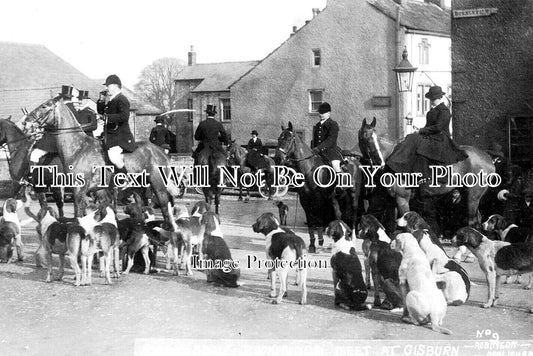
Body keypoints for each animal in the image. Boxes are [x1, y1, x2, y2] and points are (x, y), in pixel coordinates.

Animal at [23, 98, 181, 221]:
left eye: (44, 107)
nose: (26, 123)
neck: (78, 148)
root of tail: (161, 151)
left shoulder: (78, 189)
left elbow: (78, 216)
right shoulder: (95, 191)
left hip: (158, 186)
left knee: (165, 209)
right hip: (138, 188)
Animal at [274, 122, 362, 253]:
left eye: (289, 139)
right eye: (279, 138)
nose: (278, 158)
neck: (309, 169)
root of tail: (355, 162)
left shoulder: (319, 200)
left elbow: (319, 220)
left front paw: (320, 242)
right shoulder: (305, 200)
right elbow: (311, 222)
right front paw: (312, 245)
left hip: (353, 195)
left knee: (354, 214)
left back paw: (353, 240)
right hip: (338, 197)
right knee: (340, 215)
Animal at [356, 119, 496, 225]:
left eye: (374, 137)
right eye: (365, 137)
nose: (380, 162)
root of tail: (488, 158)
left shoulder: (402, 199)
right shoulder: (389, 200)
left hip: (473, 196)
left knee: (472, 221)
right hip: (468, 195)